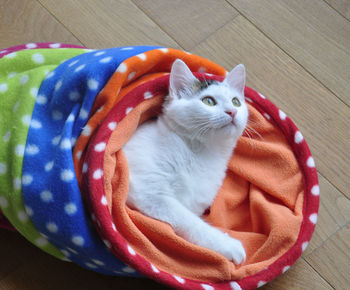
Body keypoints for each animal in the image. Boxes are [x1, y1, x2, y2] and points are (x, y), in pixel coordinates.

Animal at [124, 59, 247, 266]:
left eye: (236, 101)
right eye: (208, 101)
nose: (232, 111)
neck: (204, 153)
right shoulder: (148, 191)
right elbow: (190, 221)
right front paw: (228, 245)